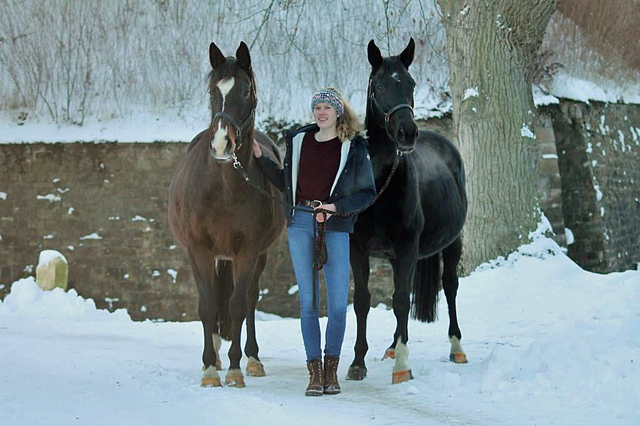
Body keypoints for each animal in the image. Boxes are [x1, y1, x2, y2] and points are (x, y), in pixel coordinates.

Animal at [169, 41, 284, 388]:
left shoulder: (248, 250)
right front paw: (209, 368)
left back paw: (252, 359)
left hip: (257, 256)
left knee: (249, 300)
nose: (222, 144)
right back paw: (218, 355)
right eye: (212, 91)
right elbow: (207, 305)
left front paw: (235, 368)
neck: (223, 187)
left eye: (245, 90)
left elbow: (236, 304)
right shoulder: (199, 250)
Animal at [344, 40, 470, 384]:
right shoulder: (358, 248)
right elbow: (363, 301)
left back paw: (456, 348)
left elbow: (401, 300)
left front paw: (402, 367)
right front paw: (358, 363)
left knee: (450, 287)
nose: (407, 133)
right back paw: (392, 346)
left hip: (452, 243)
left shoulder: (407, 245)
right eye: (379, 86)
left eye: (411, 84)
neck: (379, 186)